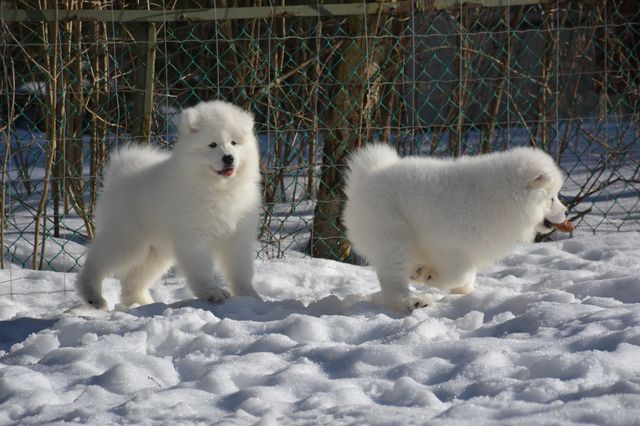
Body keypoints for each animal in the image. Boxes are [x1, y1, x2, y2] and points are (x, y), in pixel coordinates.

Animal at [76, 100, 262, 310]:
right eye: (212, 144)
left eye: (233, 143)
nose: (228, 157)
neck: (218, 187)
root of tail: (119, 176)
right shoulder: (195, 236)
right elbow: (202, 269)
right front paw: (211, 292)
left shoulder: (237, 236)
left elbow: (240, 270)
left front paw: (250, 296)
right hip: (128, 240)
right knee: (96, 262)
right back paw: (93, 296)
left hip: (156, 251)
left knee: (132, 279)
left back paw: (142, 303)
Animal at [344, 145, 576, 314]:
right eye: (552, 198)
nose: (566, 212)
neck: (498, 198)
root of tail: (365, 179)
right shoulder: (446, 244)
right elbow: (460, 274)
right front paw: (429, 277)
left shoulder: (470, 248)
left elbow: (468, 275)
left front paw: (461, 291)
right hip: (393, 235)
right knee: (391, 277)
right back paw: (412, 301)